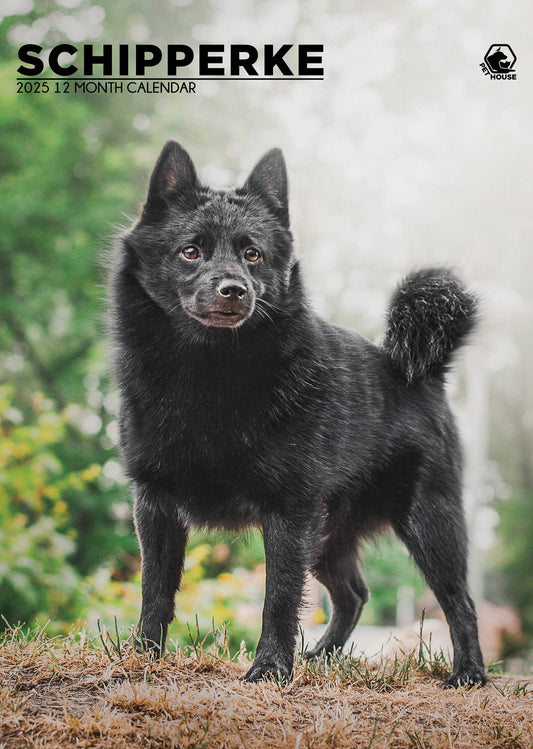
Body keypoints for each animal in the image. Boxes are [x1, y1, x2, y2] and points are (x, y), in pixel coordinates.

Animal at [111, 137, 486, 688]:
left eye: (253, 254)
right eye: (190, 251)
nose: (234, 289)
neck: (210, 372)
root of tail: (420, 372)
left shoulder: (288, 513)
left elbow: (279, 600)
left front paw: (269, 669)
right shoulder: (155, 503)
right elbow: (154, 589)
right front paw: (142, 656)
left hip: (428, 523)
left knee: (459, 601)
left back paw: (469, 674)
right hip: (329, 535)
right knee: (354, 594)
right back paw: (321, 657)